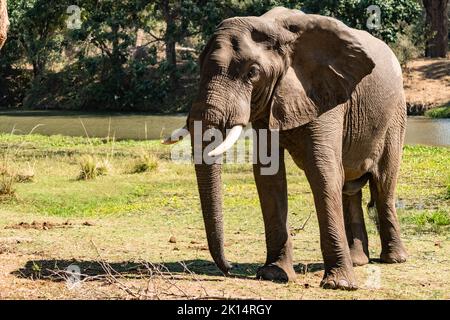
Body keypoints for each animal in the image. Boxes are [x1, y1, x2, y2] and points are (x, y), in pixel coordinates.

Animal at [164, 6, 408, 290]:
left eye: (252, 73)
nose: (230, 268)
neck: (275, 27)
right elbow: (268, 175)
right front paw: (275, 275)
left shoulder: (324, 93)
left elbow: (323, 171)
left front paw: (339, 284)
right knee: (351, 189)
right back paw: (359, 261)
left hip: (395, 117)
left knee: (383, 184)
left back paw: (394, 259)